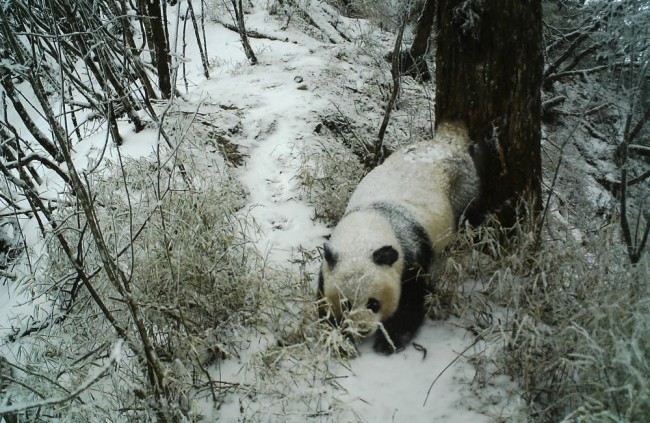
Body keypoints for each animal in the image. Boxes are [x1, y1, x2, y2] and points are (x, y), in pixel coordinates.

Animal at [316, 121, 478, 354]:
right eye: (346, 303)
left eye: (373, 303)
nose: (362, 329)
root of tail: (448, 141)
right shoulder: (330, 262)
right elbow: (323, 303)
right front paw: (341, 338)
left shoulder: (410, 252)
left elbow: (412, 297)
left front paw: (389, 342)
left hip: (463, 189)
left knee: (470, 218)